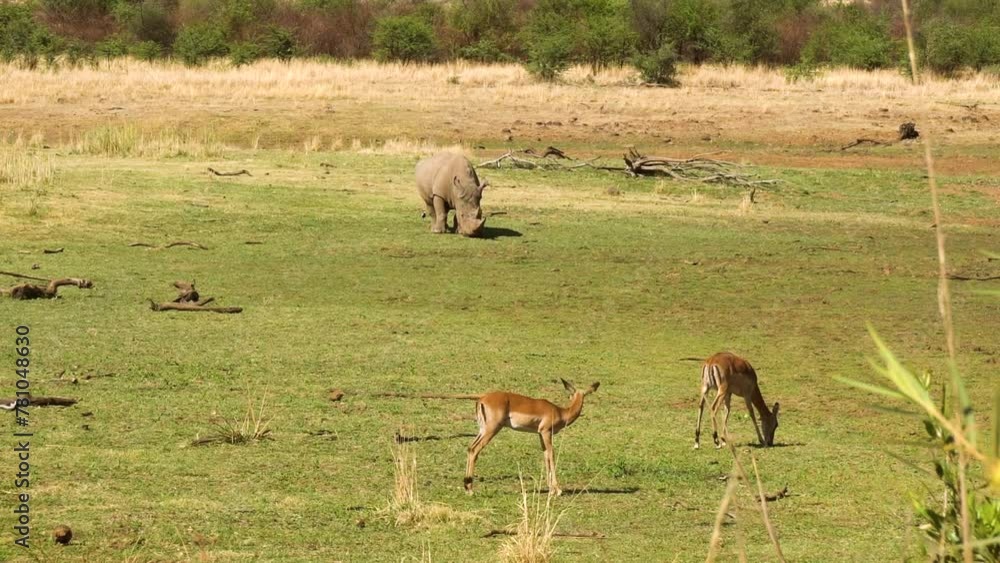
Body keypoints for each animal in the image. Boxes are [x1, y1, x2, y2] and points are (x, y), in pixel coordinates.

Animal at [465, 379, 600, 496]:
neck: (560, 412)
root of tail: (482, 399)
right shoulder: (546, 432)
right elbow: (551, 454)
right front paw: (557, 490)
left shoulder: (540, 434)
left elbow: (545, 455)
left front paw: (551, 489)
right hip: (492, 429)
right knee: (475, 449)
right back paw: (470, 490)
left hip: (483, 430)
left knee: (470, 448)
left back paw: (467, 486)